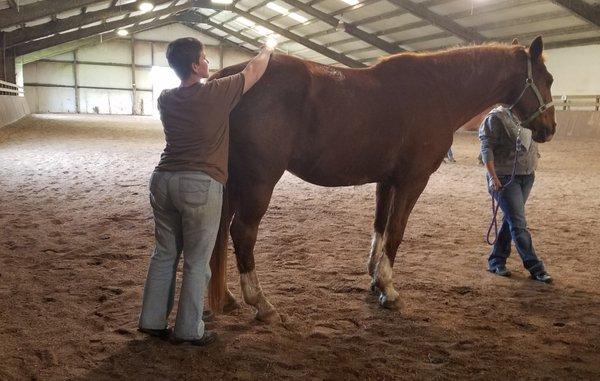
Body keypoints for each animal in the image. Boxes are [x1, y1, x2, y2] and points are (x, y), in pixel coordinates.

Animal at [207, 35, 556, 320]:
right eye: (549, 78)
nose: (549, 129)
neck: (439, 90)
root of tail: (232, 77)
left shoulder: (387, 181)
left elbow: (380, 228)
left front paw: (375, 278)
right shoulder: (413, 181)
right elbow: (397, 232)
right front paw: (388, 289)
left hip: (235, 180)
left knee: (220, 232)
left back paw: (227, 297)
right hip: (258, 180)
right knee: (242, 233)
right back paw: (261, 303)